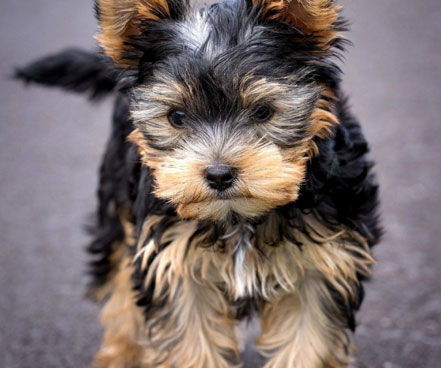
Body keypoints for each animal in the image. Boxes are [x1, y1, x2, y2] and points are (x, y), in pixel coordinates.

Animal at [17, 0, 380, 368]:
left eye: (263, 112)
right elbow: (190, 340)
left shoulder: (323, 262)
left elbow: (310, 338)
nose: (219, 174)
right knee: (118, 277)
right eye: (176, 117)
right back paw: (121, 352)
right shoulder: (172, 262)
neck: (237, 217)